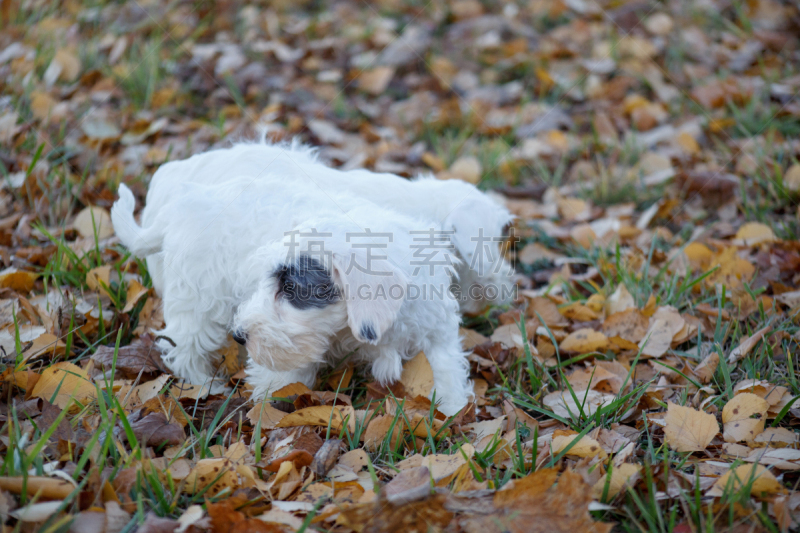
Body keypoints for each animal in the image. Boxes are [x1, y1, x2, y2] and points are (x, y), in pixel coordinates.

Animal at [113, 177, 476, 414]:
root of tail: (182, 206)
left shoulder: (434, 329)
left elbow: (445, 370)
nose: (240, 335)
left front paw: (451, 412)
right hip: (199, 300)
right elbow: (279, 380)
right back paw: (205, 386)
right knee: (183, 348)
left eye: (290, 288)